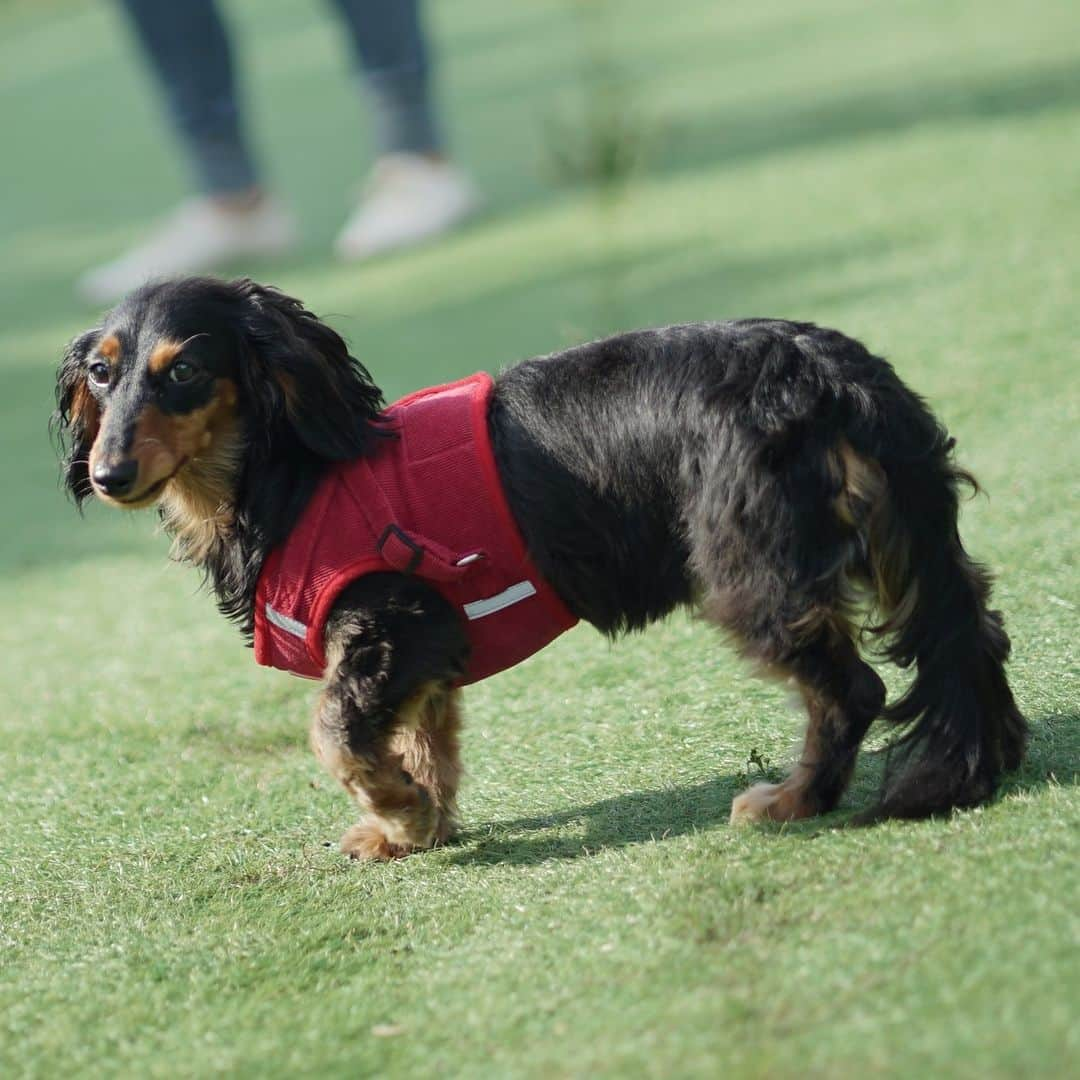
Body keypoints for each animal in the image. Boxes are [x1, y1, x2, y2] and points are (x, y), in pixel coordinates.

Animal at [52, 278, 1028, 859]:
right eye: (100, 375)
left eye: (185, 373)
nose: (108, 474)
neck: (290, 480)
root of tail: (830, 373)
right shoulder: (428, 651)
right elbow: (425, 740)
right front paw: (416, 824)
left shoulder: (394, 622)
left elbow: (334, 730)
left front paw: (397, 810)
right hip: (905, 543)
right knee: (972, 632)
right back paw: (979, 766)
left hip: (751, 571)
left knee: (853, 689)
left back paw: (794, 800)